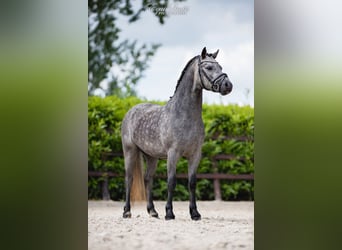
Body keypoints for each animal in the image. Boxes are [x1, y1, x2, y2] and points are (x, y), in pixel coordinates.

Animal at [121, 47, 232, 220]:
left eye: (220, 67)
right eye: (208, 67)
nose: (228, 85)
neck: (184, 116)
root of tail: (131, 111)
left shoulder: (195, 154)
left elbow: (192, 182)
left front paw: (195, 213)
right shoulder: (173, 153)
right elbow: (171, 181)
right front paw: (169, 213)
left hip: (151, 156)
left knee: (148, 179)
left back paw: (152, 211)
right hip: (130, 151)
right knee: (129, 178)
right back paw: (127, 211)